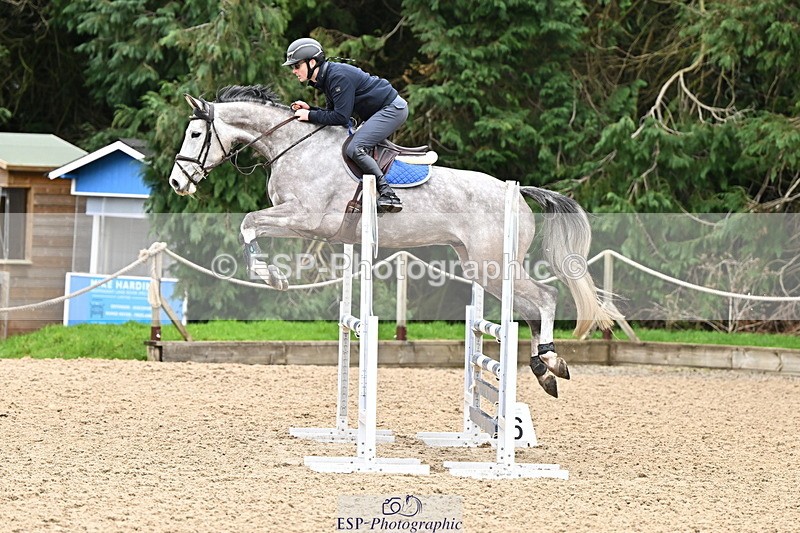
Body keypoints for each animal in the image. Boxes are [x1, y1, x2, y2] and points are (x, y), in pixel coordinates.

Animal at [167, 84, 619, 398]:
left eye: (195, 134)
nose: (176, 183)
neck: (292, 146)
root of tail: (519, 192)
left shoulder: (307, 218)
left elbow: (248, 223)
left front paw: (270, 275)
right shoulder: (302, 222)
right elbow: (251, 226)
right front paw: (270, 273)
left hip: (492, 263)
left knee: (544, 297)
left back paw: (551, 362)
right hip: (479, 265)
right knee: (526, 309)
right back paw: (544, 367)